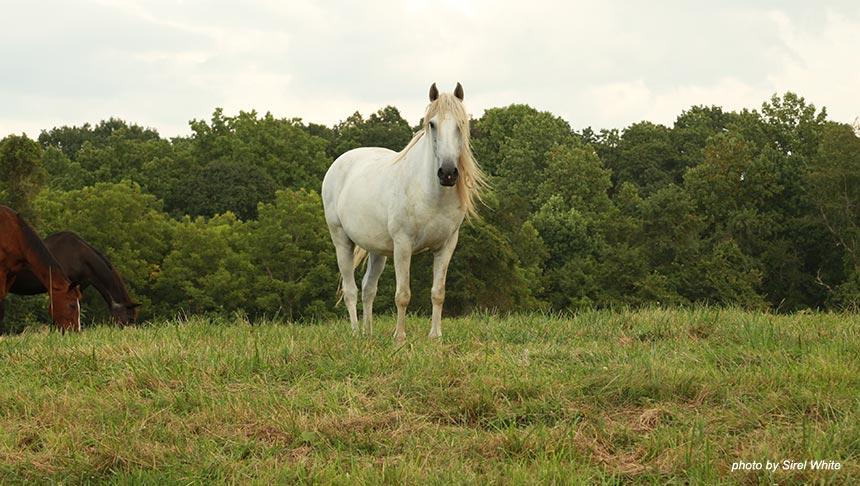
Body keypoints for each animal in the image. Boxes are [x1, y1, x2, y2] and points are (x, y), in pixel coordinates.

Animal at [322, 82, 484, 342]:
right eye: (432, 124)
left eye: (461, 124)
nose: (448, 173)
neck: (429, 193)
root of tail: (339, 163)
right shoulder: (403, 245)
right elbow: (403, 294)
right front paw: (400, 338)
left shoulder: (446, 246)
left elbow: (438, 292)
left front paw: (435, 337)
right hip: (341, 241)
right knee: (350, 290)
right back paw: (356, 333)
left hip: (377, 250)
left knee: (368, 289)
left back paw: (368, 333)